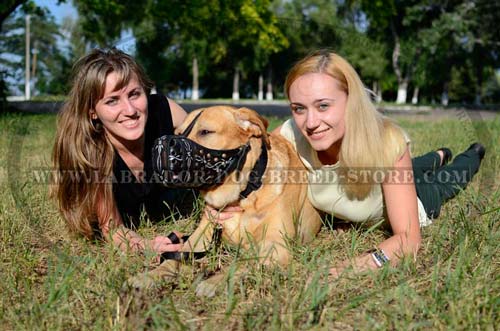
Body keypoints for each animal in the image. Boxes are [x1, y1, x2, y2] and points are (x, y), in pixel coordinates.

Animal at [130, 105, 320, 296]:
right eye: (179, 132)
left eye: (205, 132)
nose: (161, 148)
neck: (244, 196)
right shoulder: (199, 237)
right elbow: (174, 258)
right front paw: (151, 275)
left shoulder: (275, 246)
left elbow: (246, 261)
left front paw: (215, 281)